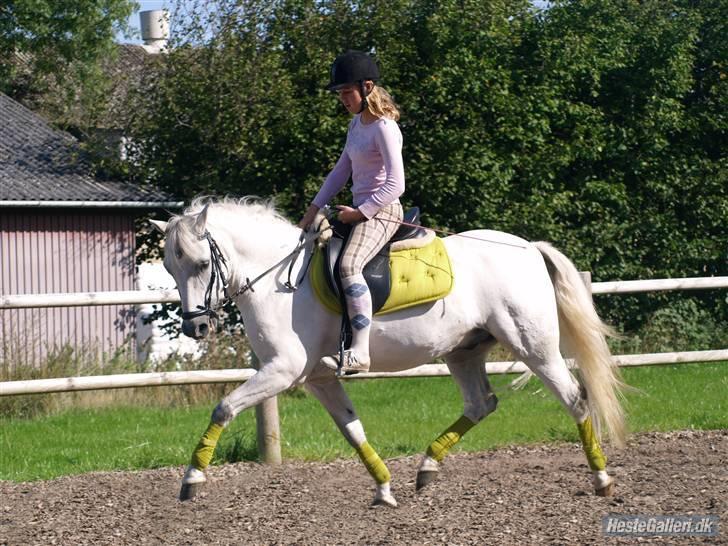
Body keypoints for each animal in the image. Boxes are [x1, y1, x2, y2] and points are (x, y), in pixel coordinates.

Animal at [152, 197, 624, 506]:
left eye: (201, 264)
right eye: (170, 267)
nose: (196, 327)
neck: (280, 281)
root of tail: (528, 248)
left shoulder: (282, 371)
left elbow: (224, 407)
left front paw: (192, 478)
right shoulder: (318, 379)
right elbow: (352, 429)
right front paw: (383, 488)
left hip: (534, 347)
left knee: (575, 398)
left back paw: (601, 479)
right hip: (463, 351)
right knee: (480, 403)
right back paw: (427, 467)